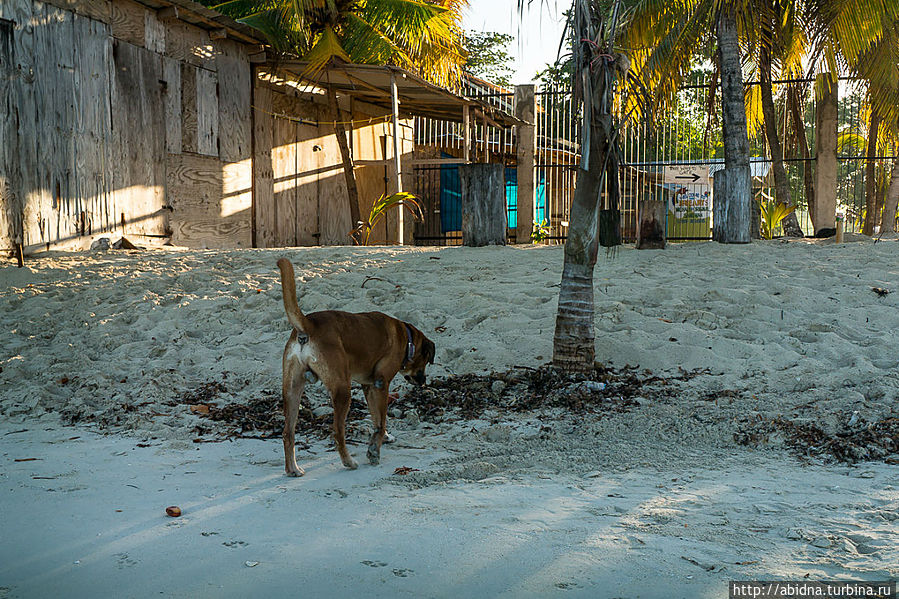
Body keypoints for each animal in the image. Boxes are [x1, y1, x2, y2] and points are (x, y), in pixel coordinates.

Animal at [278, 258, 440, 478]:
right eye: (425, 362)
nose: (423, 383)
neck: (407, 339)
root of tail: (308, 325)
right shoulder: (381, 384)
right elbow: (381, 421)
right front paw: (374, 451)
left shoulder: (368, 386)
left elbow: (376, 417)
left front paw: (383, 438)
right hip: (342, 390)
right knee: (338, 431)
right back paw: (348, 462)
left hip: (292, 391)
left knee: (288, 432)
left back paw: (293, 468)